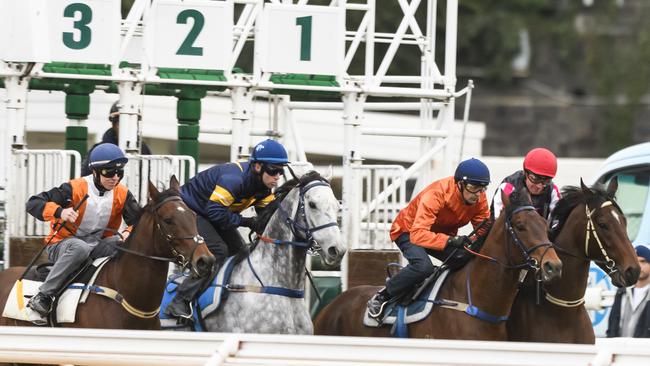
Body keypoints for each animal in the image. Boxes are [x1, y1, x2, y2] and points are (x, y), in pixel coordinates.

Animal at [314, 189, 560, 340]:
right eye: (520, 226)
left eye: (545, 223)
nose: (553, 266)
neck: (475, 302)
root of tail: (330, 306)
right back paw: (377, 302)